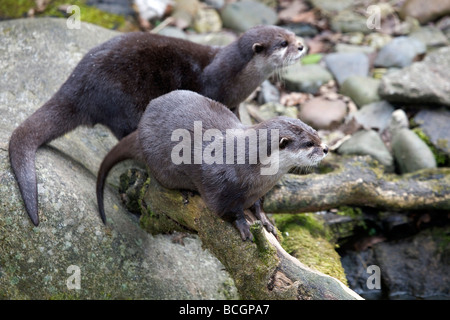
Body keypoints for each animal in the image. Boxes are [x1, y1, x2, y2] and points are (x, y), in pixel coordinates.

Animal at [8, 25, 306, 225]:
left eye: (292, 34)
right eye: (283, 43)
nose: (302, 45)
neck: (231, 77)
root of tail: (77, 83)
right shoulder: (212, 88)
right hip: (125, 101)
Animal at [96, 90, 328, 240]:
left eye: (316, 133)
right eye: (309, 144)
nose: (326, 148)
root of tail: (141, 126)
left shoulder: (260, 191)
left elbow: (258, 204)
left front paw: (265, 220)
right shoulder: (220, 187)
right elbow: (227, 210)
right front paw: (243, 226)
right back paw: (185, 193)